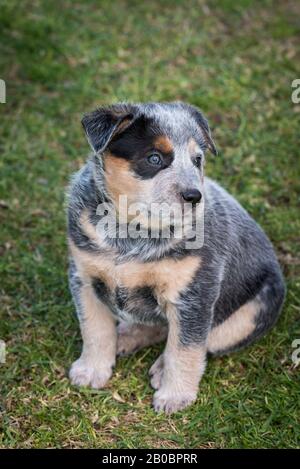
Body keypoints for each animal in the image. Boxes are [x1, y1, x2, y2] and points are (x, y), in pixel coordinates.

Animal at [67, 102, 284, 414]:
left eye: (197, 160)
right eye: (154, 158)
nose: (194, 196)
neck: (131, 234)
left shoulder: (193, 295)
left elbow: (185, 350)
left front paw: (175, 396)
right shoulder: (84, 277)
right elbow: (94, 330)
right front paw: (91, 370)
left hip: (253, 311)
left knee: (203, 339)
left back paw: (159, 367)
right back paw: (127, 336)